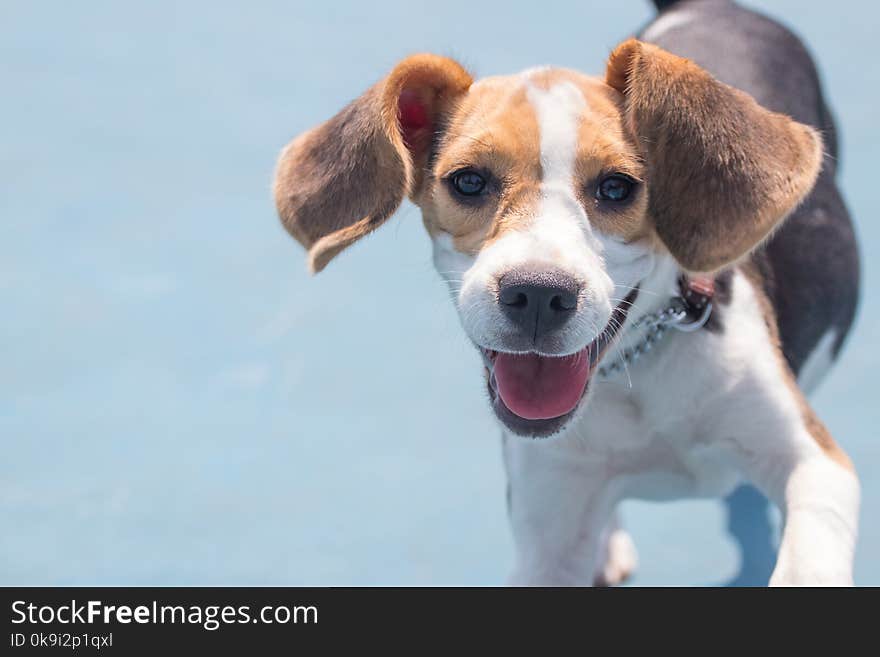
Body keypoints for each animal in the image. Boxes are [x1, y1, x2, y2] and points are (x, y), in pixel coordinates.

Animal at [274, 0, 860, 584]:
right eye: (468, 182)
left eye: (617, 187)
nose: (537, 294)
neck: (635, 372)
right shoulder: (548, 528)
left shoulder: (816, 464)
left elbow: (807, 563)